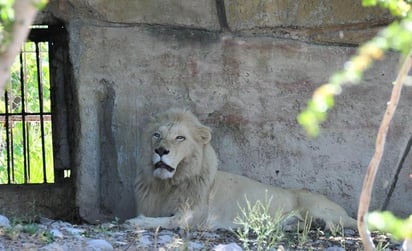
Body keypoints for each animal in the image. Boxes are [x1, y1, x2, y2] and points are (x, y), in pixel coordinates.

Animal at [126, 109, 358, 230]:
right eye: (156, 135)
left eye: (180, 137)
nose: (160, 150)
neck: (167, 184)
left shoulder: (194, 216)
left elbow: (168, 221)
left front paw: (137, 221)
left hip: (316, 207)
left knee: (344, 224)